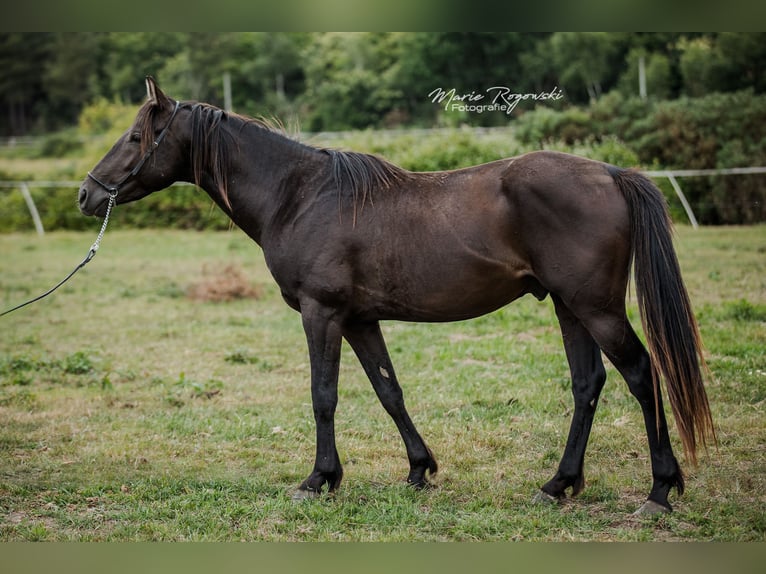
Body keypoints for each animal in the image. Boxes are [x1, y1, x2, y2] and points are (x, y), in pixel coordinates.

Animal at [79, 77, 715, 515]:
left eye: (135, 137)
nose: (87, 194)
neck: (300, 195)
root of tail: (611, 173)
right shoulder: (360, 320)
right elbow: (389, 392)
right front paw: (418, 469)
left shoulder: (322, 314)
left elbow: (324, 396)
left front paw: (320, 479)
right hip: (568, 307)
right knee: (588, 385)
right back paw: (557, 485)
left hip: (595, 309)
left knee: (641, 373)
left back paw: (660, 490)